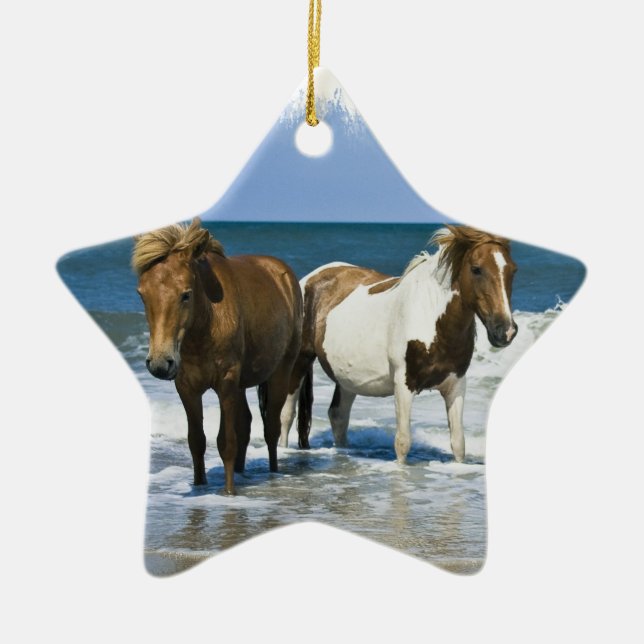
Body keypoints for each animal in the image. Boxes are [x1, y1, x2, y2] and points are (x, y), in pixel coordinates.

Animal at [133, 218, 303, 495]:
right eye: (142, 294)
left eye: (186, 294)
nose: (159, 363)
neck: (207, 323)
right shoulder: (187, 388)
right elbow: (197, 441)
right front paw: (200, 485)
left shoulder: (226, 383)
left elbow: (226, 442)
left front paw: (229, 492)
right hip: (241, 385)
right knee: (246, 424)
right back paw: (243, 472)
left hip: (280, 373)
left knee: (271, 428)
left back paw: (273, 472)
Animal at [279, 225, 518, 464]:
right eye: (477, 269)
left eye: (513, 270)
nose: (505, 330)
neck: (430, 317)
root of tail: (309, 278)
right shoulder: (403, 385)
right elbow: (402, 442)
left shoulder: (456, 385)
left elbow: (459, 444)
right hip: (300, 361)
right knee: (287, 415)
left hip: (347, 377)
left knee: (338, 416)